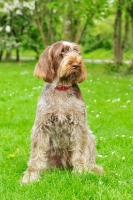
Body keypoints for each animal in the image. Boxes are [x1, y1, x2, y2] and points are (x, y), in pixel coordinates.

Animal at [21, 41, 104, 184]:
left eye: (77, 52)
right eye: (62, 52)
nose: (76, 63)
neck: (62, 89)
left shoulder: (79, 126)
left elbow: (79, 153)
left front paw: (80, 172)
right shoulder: (41, 127)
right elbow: (36, 155)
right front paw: (31, 176)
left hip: (90, 137)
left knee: (90, 160)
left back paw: (95, 169)